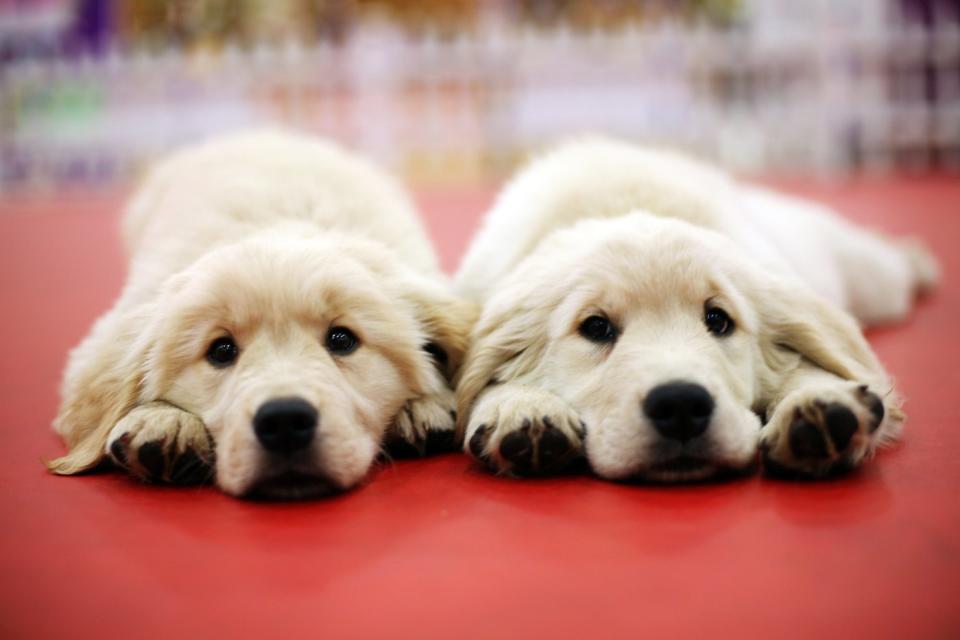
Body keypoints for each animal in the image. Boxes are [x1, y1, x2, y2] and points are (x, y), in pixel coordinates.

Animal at [458, 138, 936, 482]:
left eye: (718, 320)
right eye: (595, 327)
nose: (681, 405)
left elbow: (806, 364)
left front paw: (819, 402)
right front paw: (520, 408)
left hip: (871, 279)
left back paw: (919, 260)